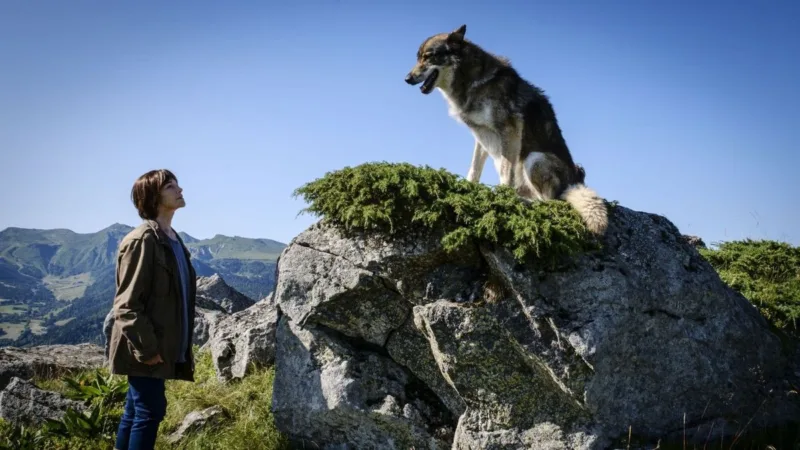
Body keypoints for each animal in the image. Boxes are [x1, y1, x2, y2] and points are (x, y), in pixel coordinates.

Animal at [404, 24, 608, 235]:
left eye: (428, 57)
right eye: (418, 58)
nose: (407, 78)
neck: (472, 80)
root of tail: (575, 182)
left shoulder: (510, 129)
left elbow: (505, 170)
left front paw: (503, 195)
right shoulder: (481, 135)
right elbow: (474, 167)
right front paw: (469, 187)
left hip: (534, 158)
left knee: (550, 202)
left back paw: (524, 200)